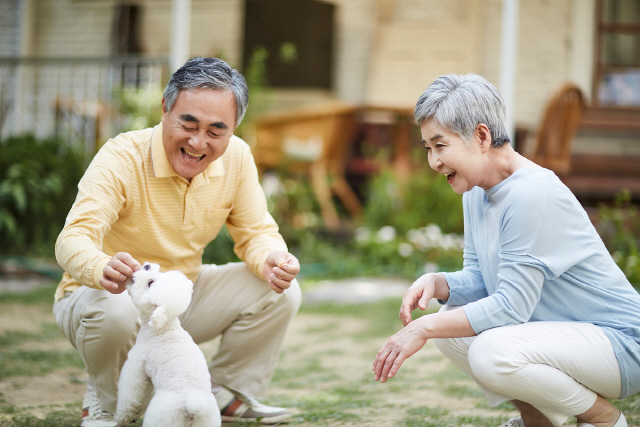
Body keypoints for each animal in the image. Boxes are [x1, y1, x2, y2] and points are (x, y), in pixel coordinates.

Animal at [111, 262, 219, 426]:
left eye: (150, 283)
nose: (147, 265)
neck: (163, 328)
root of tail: (192, 406)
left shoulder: (136, 367)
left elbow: (131, 398)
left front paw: (123, 418)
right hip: (207, 421)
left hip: (161, 416)